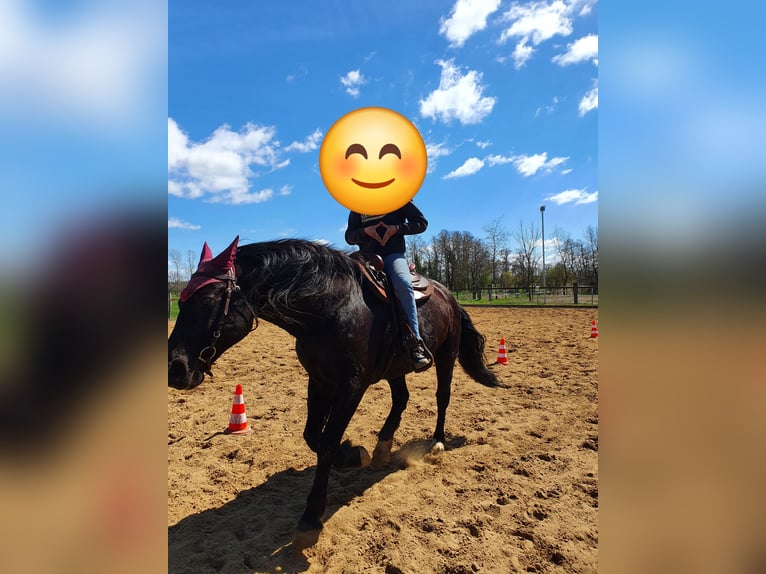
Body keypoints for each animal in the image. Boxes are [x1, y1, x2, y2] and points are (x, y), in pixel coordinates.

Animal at [168, 236, 502, 547]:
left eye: (208, 299)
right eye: (181, 302)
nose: (175, 369)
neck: (329, 308)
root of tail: (450, 297)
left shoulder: (352, 386)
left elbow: (327, 442)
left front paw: (311, 517)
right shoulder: (319, 381)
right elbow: (313, 436)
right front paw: (354, 454)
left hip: (446, 355)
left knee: (442, 397)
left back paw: (437, 442)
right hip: (395, 368)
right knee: (401, 399)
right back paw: (382, 447)